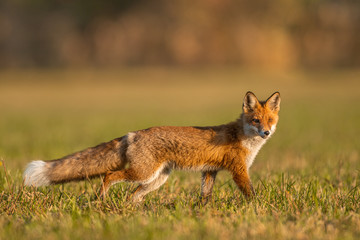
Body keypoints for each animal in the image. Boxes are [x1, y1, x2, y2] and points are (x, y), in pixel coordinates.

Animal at [23, 91, 280, 202]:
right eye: (255, 120)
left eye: (270, 120)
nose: (266, 133)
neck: (244, 137)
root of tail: (132, 133)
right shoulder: (238, 170)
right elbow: (250, 192)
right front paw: (257, 207)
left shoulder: (210, 170)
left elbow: (205, 197)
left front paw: (202, 212)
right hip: (143, 173)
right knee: (109, 175)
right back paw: (101, 199)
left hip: (156, 179)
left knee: (132, 196)